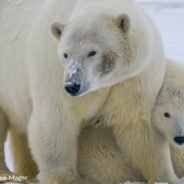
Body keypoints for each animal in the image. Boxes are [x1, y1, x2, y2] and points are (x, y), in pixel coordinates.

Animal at [0, 0, 178, 183]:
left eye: (92, 52)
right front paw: (70, 179)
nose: (72, 85)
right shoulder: (55, 73)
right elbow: (57, 121)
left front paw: (164, 177)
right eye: (65, 54)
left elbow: (137, 125)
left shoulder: (134, 78)